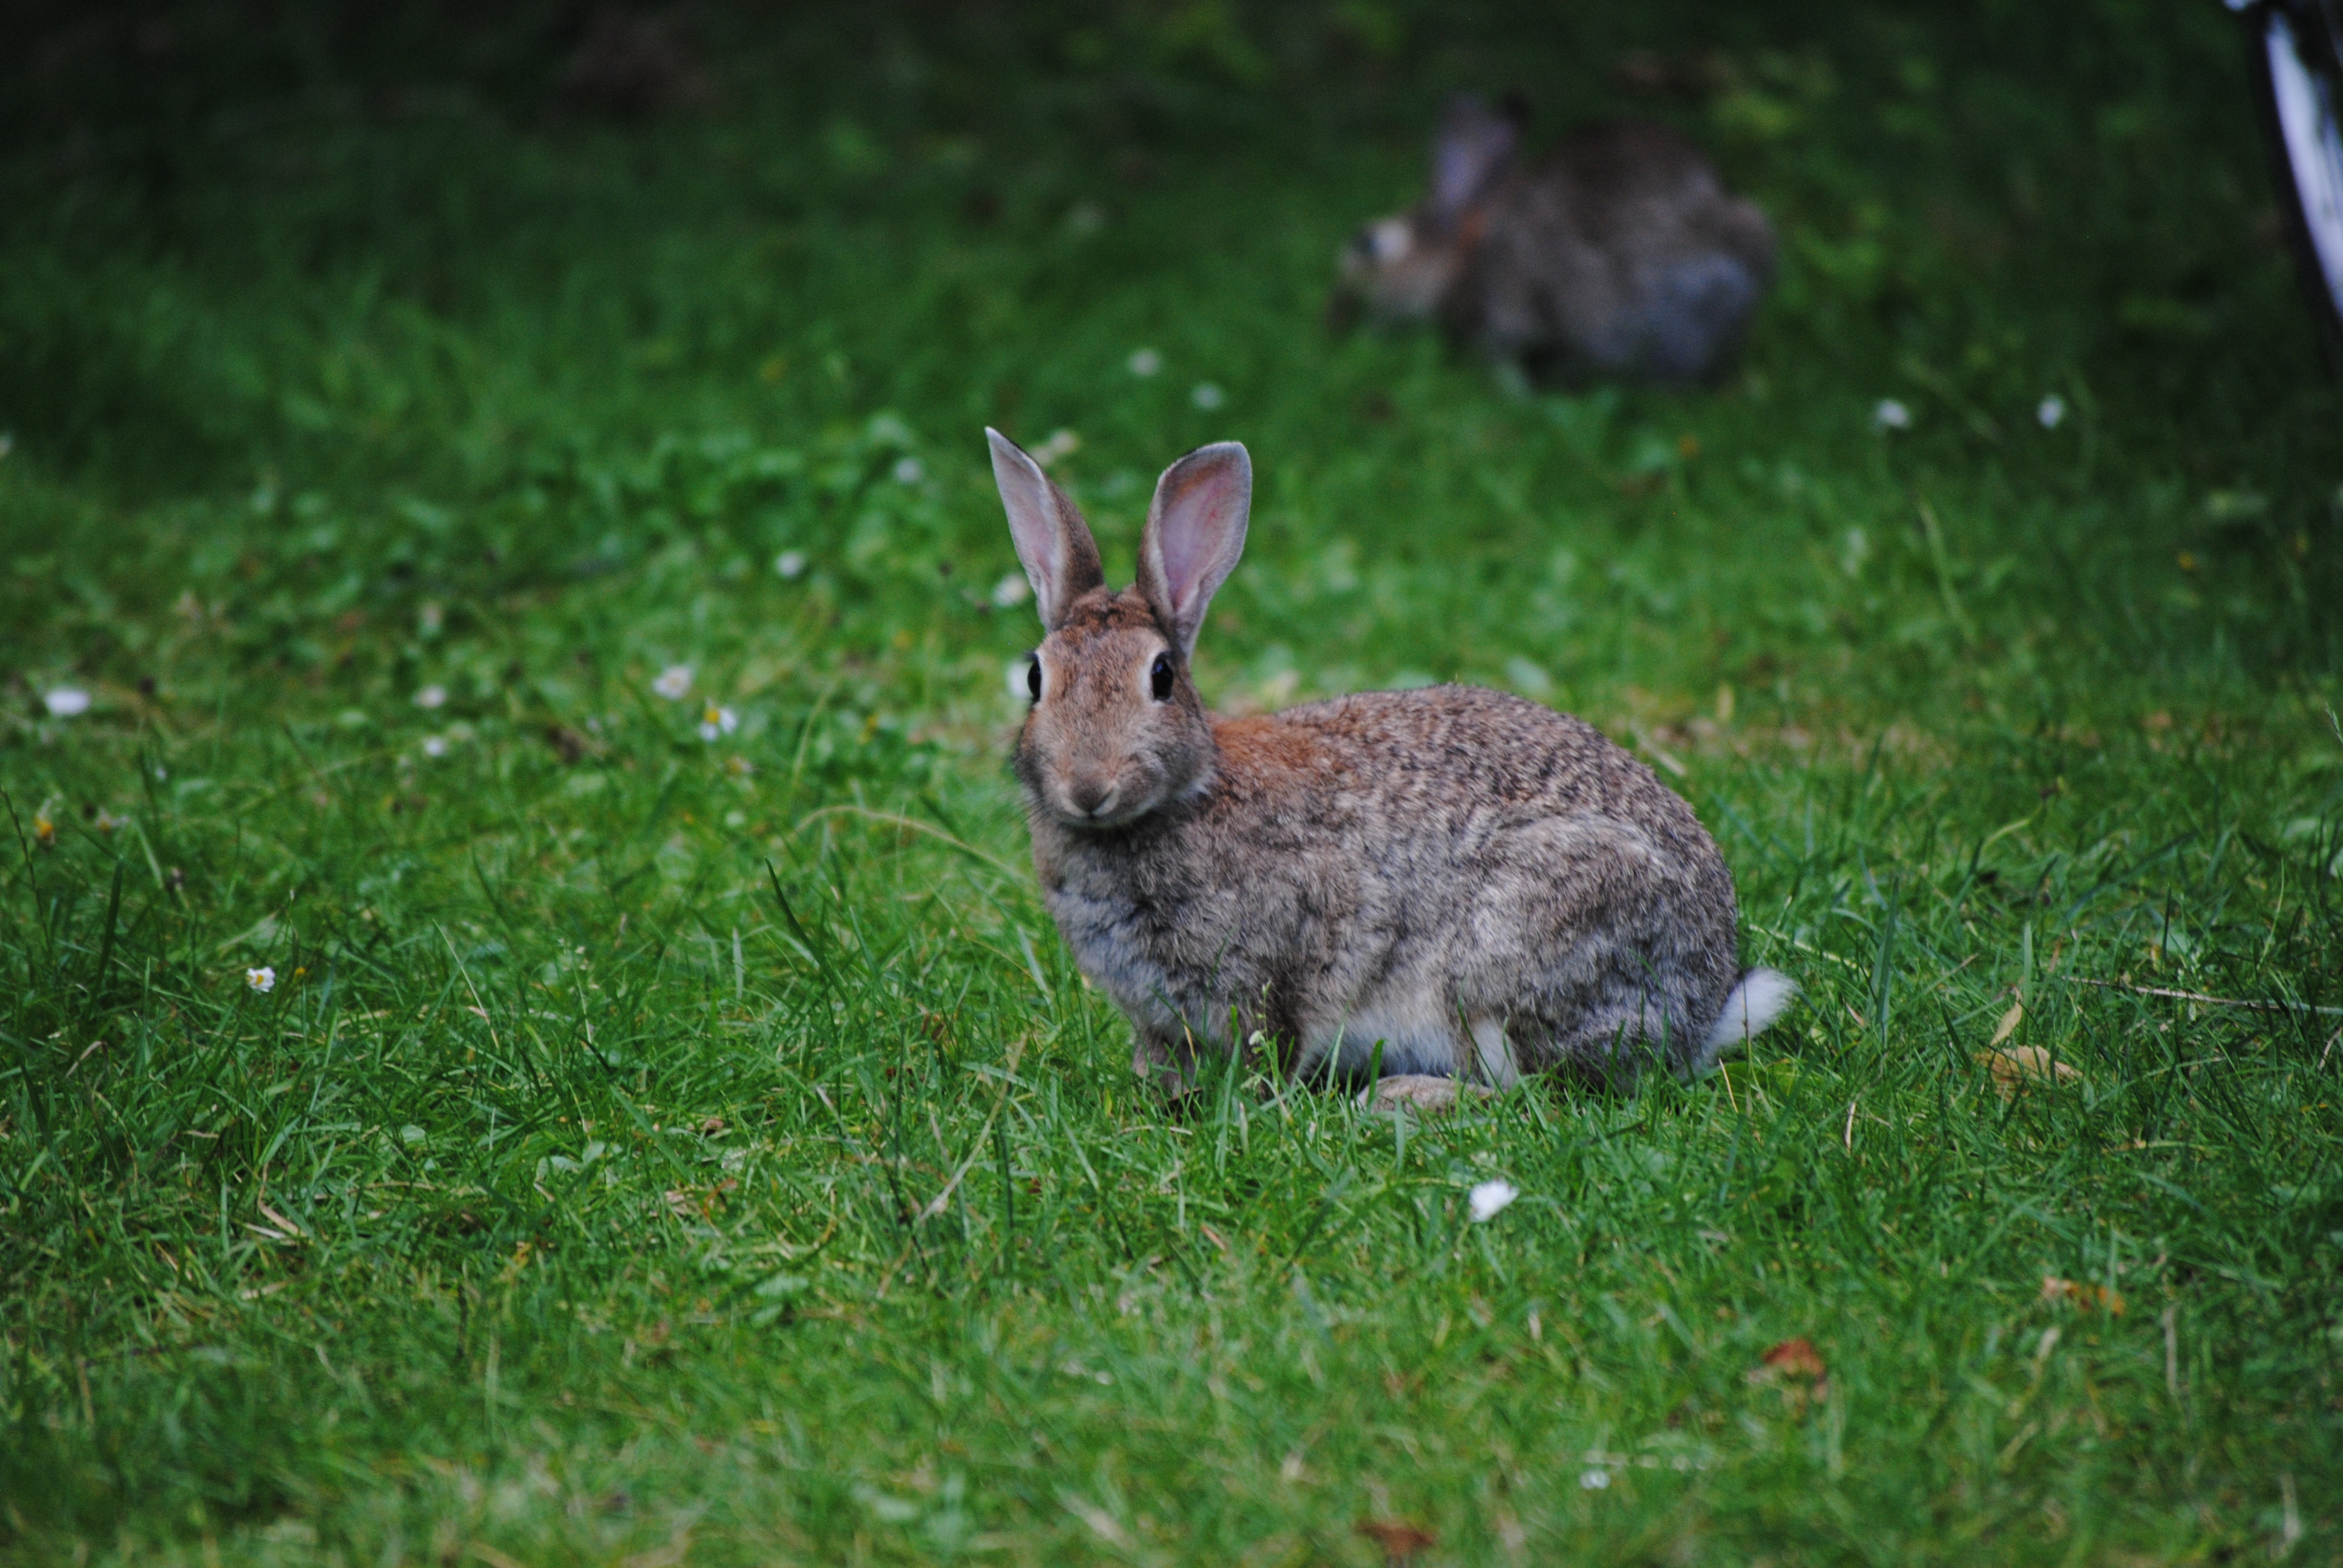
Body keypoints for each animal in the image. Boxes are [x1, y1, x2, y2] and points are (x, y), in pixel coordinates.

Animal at [979, 424, 1780, 1101]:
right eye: (1035, 678)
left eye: (1162, 677)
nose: (1088, 786)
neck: (1183, 800)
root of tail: (1702, 1007)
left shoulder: (1283, 969)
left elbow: (1277, 1042)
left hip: (1506, 960)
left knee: (1532, 1097)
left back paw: (1403, 1099)